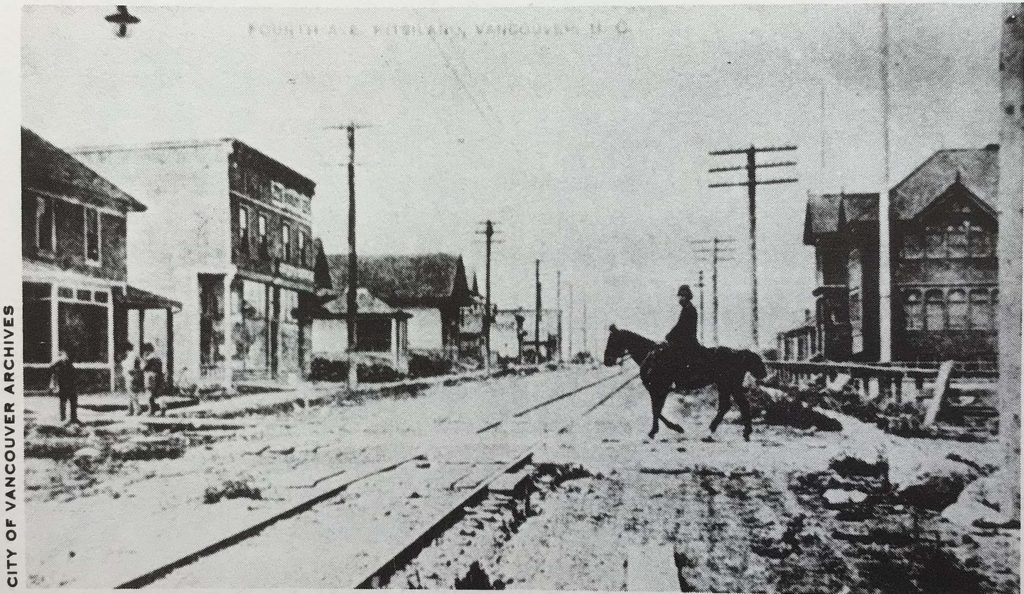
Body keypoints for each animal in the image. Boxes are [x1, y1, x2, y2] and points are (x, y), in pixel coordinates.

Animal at [598, 327, 770, 438]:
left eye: (612, 340)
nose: (607, 361)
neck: (651, 355)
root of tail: (741, 353)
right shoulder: (657, 391)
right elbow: (656, 410)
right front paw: (660, 430)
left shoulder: (659, 389)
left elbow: (656, 411)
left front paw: (668, 429)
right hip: (725, 385)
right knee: (728, 405)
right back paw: (718, 428)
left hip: (730, 385)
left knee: (740, 404)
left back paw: (742, 431)